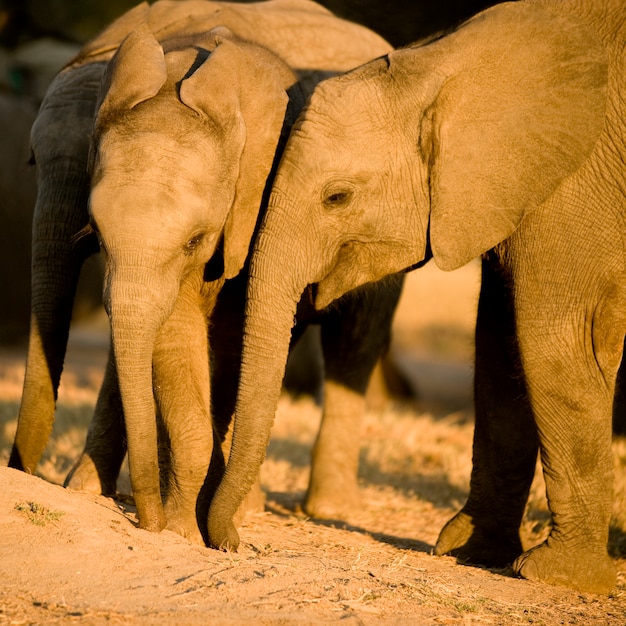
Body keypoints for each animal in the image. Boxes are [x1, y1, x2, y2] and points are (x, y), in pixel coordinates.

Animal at [8, 0, 394, 540]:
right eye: (97, 234)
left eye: (195, 239)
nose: (144, 519)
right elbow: (172, 333)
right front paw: (181, 527)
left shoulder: (258, 196)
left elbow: (228, 336)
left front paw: (192, 528)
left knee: (354, 340)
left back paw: (324, 508)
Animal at [211, 0, 624, 596]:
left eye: (338, 198)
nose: (231, 542)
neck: (440, 66)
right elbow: (500, 343)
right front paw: (469, 552)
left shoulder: (573, 182)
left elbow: (554, 341)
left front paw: (559, 577)